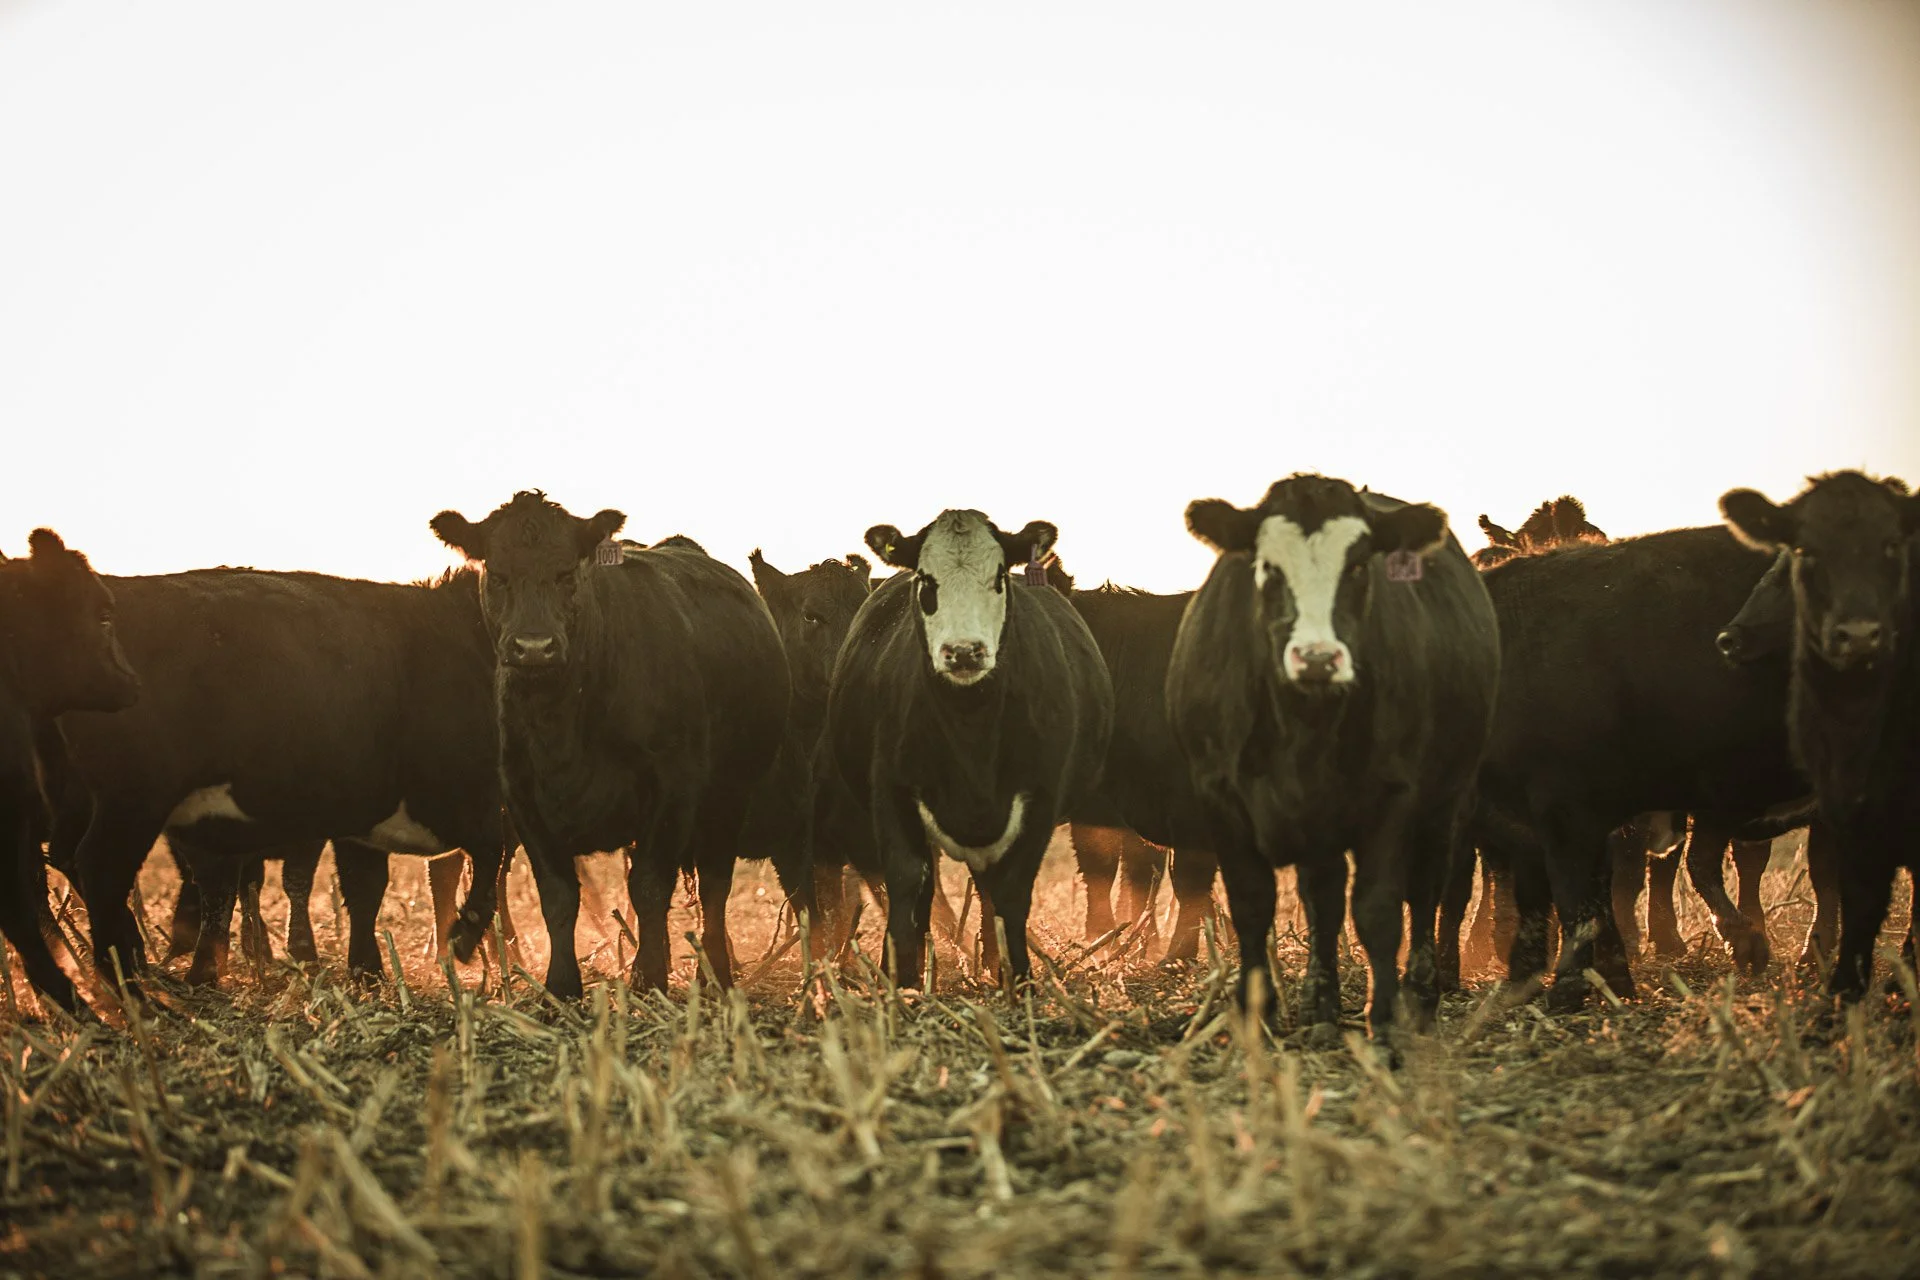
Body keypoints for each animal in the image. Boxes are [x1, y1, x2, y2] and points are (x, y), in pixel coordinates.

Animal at [53, 568, 508, 991]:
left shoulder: (355, 817)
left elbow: (362, 890)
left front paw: (365, 971)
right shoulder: (452, 798)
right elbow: (485, 856)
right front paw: (461, 939)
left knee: (78, 862)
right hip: (135, 802)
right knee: (101, 866)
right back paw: (128, 978)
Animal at [430, 492, 788, 999]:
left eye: (567, 573)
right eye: (497, 574)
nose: (534, 646)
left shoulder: (672, 786)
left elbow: (650, 886)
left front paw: (648, 979)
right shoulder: (522, 795)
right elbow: (559, 895)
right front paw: (561, 987)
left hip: (729, 795)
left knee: (714, 886)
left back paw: (714, 974)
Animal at [826, 509, 1112, 987]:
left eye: (999, 577)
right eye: (926, 579)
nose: (964, 652)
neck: (970, 730)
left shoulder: (1041, 798)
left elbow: (1011, 892)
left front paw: (1019, 982)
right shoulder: (891, 789)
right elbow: (907, 882)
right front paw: (902, 982)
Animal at [1166, 475, 1500, 1045]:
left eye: (1361, 566)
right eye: (1267, 567)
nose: (1318, 658)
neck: (1303, 722)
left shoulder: (1394, 795)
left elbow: (1379, 909)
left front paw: (1384, 1022)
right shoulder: (1219, 794)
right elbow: (1253, 903)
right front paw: (1257, 1017)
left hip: (1446, 800)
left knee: (1427, 890)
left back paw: (1420, 1000)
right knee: (1322, 896)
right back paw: (1318, 1009)